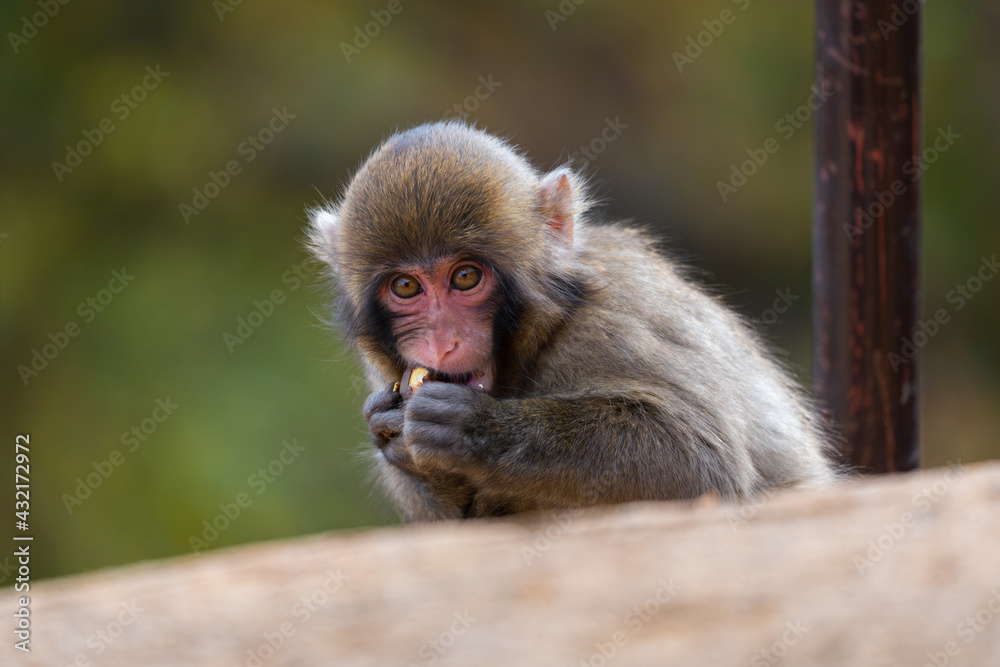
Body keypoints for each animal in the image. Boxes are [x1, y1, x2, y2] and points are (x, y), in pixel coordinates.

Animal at [307, 121, 838, 522]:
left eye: (465, 277)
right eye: (405, 287)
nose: (441, 344)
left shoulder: (614, 321)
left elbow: (703, 465)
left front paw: (477, 428)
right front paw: (391, 432)